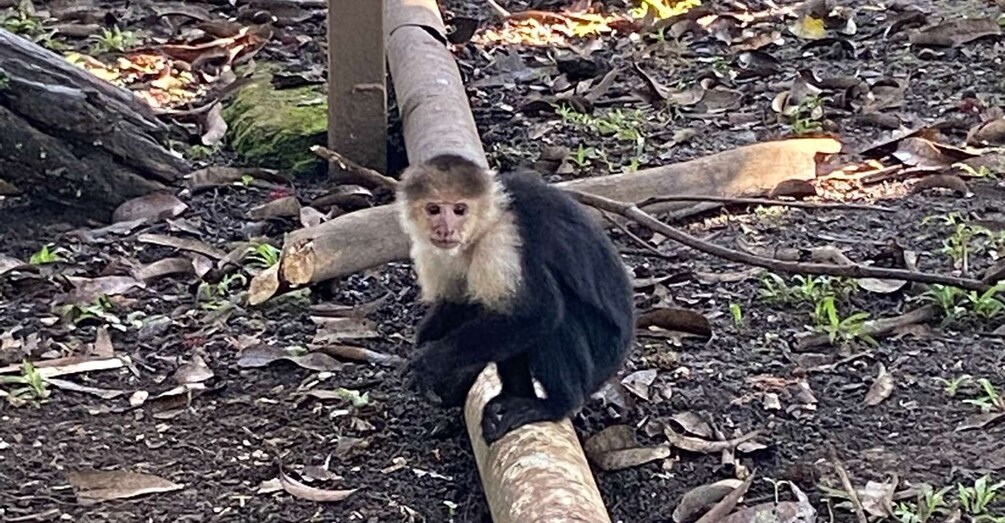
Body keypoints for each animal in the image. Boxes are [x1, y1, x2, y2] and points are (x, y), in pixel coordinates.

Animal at [395, 152, 631, 442]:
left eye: (460, 210)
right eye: (433, 210)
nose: (445, 229)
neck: (487, 221)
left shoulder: (502, 241)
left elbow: (538, 313)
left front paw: (431, 361)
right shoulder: (435, 249)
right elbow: (461, 301)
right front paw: (427, 340)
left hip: (602, 355)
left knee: (554, 321)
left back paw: (556, 404)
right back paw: (514, 396)